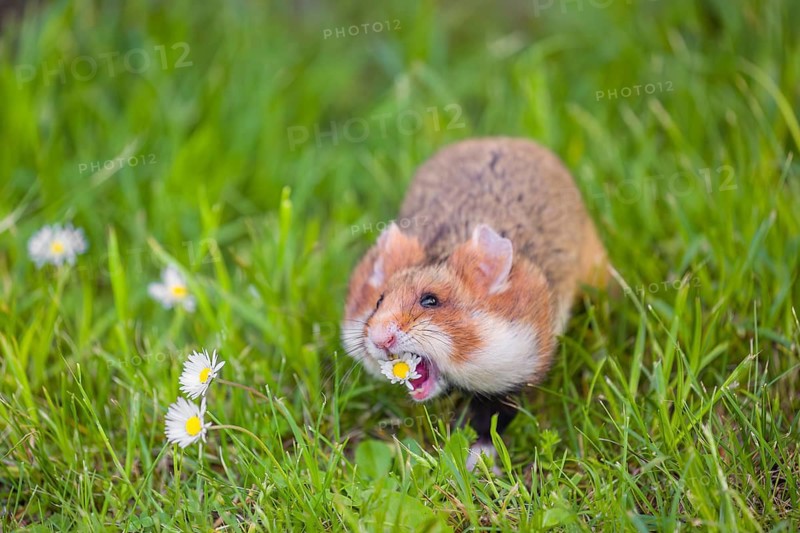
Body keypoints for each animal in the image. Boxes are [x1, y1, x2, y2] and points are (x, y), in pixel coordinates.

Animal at [341, 137, 608, 468]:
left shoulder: (517, 369)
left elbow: (491, 420)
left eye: (430, 300)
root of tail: (501, 138)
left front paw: (474, 463)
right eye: (378, 302)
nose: (379, 339)